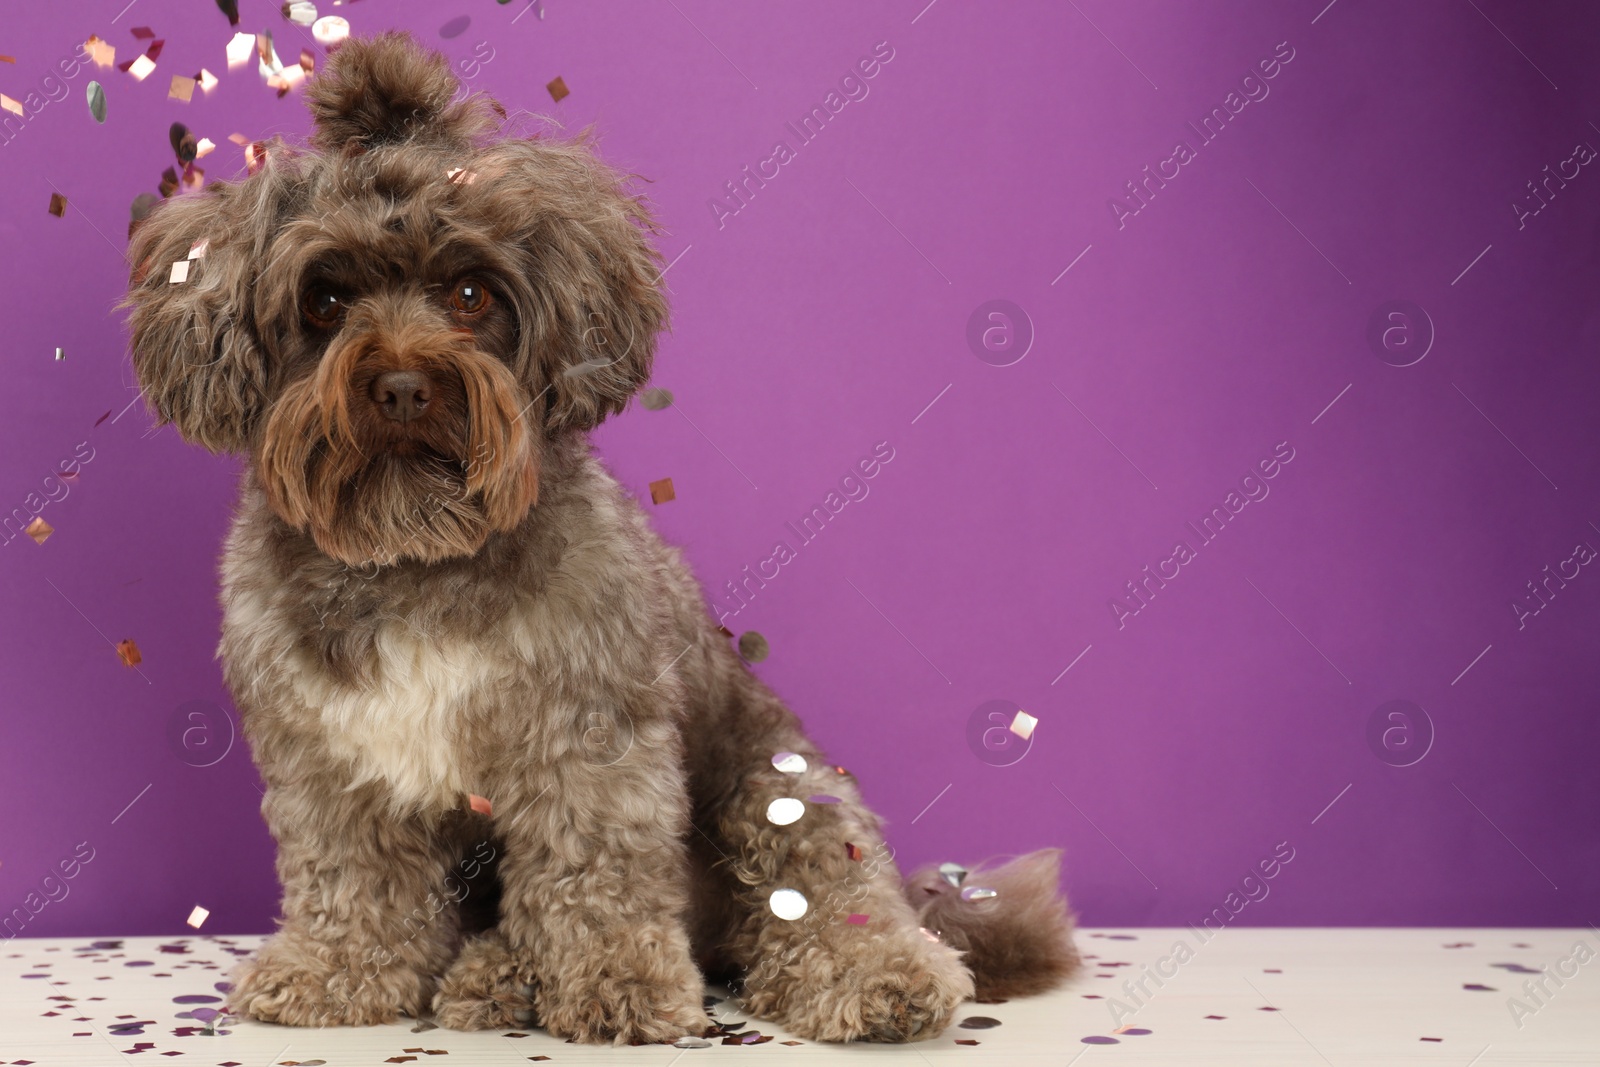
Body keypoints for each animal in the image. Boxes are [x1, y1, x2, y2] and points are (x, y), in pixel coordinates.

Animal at [121, 31, 1075, 1043]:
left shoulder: (587, 736)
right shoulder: (330, 756)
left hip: (778, 790)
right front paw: (334, 970)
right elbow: (353, 874)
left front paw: (620, 980)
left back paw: (879, 974)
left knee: (822, 893)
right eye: (326, 301)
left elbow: (595, 875)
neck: (419, 552)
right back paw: (496, 974)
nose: (404, 385)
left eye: (471, 292)